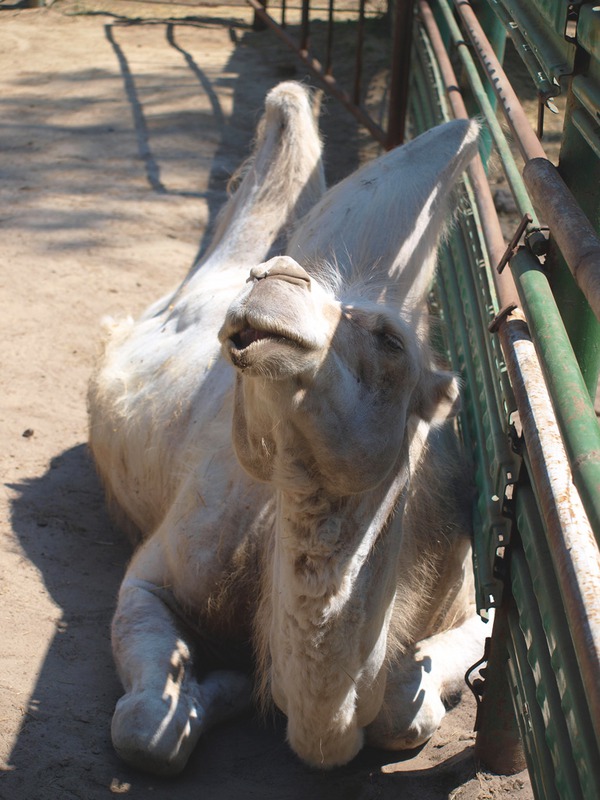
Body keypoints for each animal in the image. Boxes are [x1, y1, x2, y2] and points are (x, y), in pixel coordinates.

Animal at [88, 81, 488, 776]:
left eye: (391, 341)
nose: (274, 276)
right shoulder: (155, 573)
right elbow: (146, 733)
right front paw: (225, 688)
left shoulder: (472, 598)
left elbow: (403, 714)